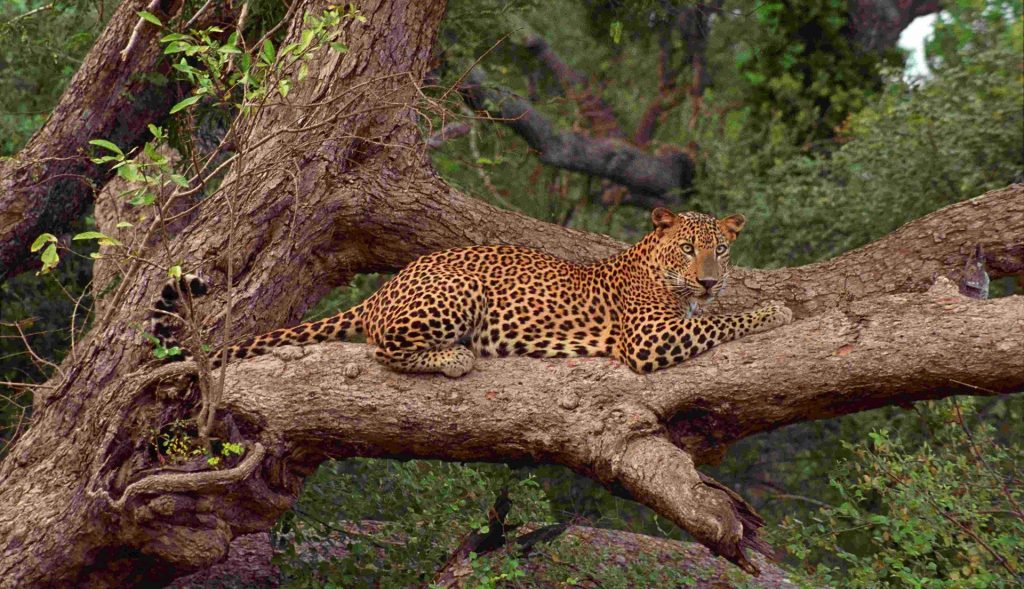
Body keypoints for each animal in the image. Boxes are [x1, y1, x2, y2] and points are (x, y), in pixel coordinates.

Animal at [151, 211, 790, 376]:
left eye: (720, 249)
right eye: (686, 248)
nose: (710, 279)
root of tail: (389, 285)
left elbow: (716, 315)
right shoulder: (650, 339)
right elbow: (720, 321)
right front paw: (775, 309)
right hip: (457, 291)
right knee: (382, 347)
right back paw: (453, 358)